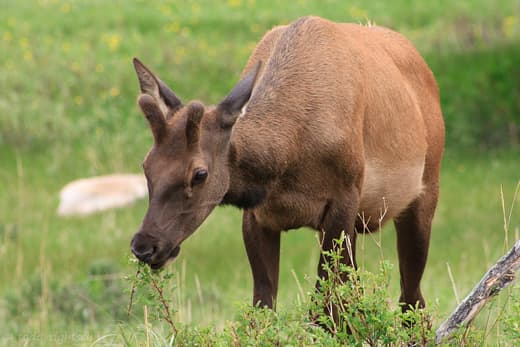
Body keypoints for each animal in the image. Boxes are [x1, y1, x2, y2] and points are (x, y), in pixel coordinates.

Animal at [130, 15, 442, 316]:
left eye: (199, 173)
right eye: (146, 165)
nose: (144, 246)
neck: (286, 165)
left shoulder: (344, 199)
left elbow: (325, 310)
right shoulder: (257, 216)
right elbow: (264, 306)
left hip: (425, 193)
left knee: (412, 299)